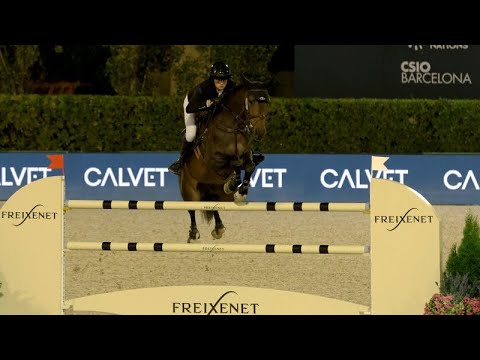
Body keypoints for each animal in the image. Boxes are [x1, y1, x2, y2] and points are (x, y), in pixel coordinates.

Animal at [178, 75, 272, 242]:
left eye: (267, 101)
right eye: (251, 101)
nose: (260, 132)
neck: (231, 127)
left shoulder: (246, 154)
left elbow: (249, 166)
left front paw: (240, 193)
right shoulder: (214, 159)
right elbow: (234, 162)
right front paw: (233, 184)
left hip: (215, 192)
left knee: (212, 205)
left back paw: (219, 228)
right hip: (189, 189)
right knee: (192, 209)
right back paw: (194, 234)